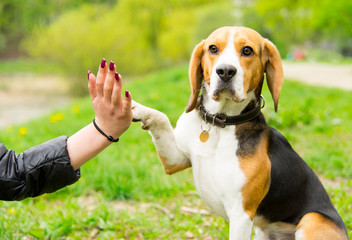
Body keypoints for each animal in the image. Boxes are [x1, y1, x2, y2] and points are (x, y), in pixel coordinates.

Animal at [131, 26, 348, 240]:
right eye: (212, 48)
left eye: (247, 51)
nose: (225, 71)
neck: (220, 123)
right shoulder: (175, 159)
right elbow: (161, 118)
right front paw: (135, 108)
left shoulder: (241, 214)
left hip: (310, 220)